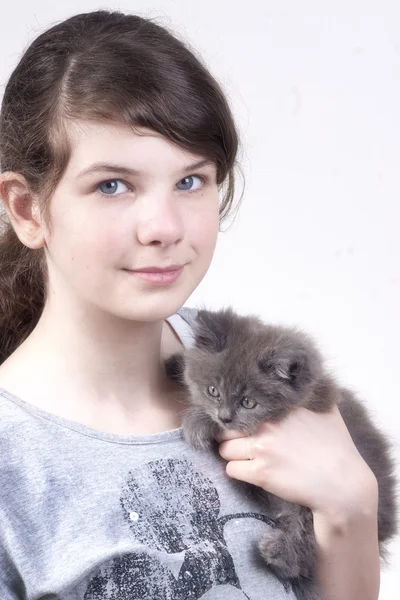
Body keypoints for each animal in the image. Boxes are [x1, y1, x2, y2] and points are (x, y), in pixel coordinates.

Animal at [166, 310, 396, 600]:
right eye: (213, 391)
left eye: (248, 403)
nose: (225, 416)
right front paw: (175, 362)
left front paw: (197, 422)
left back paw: (280, 552)